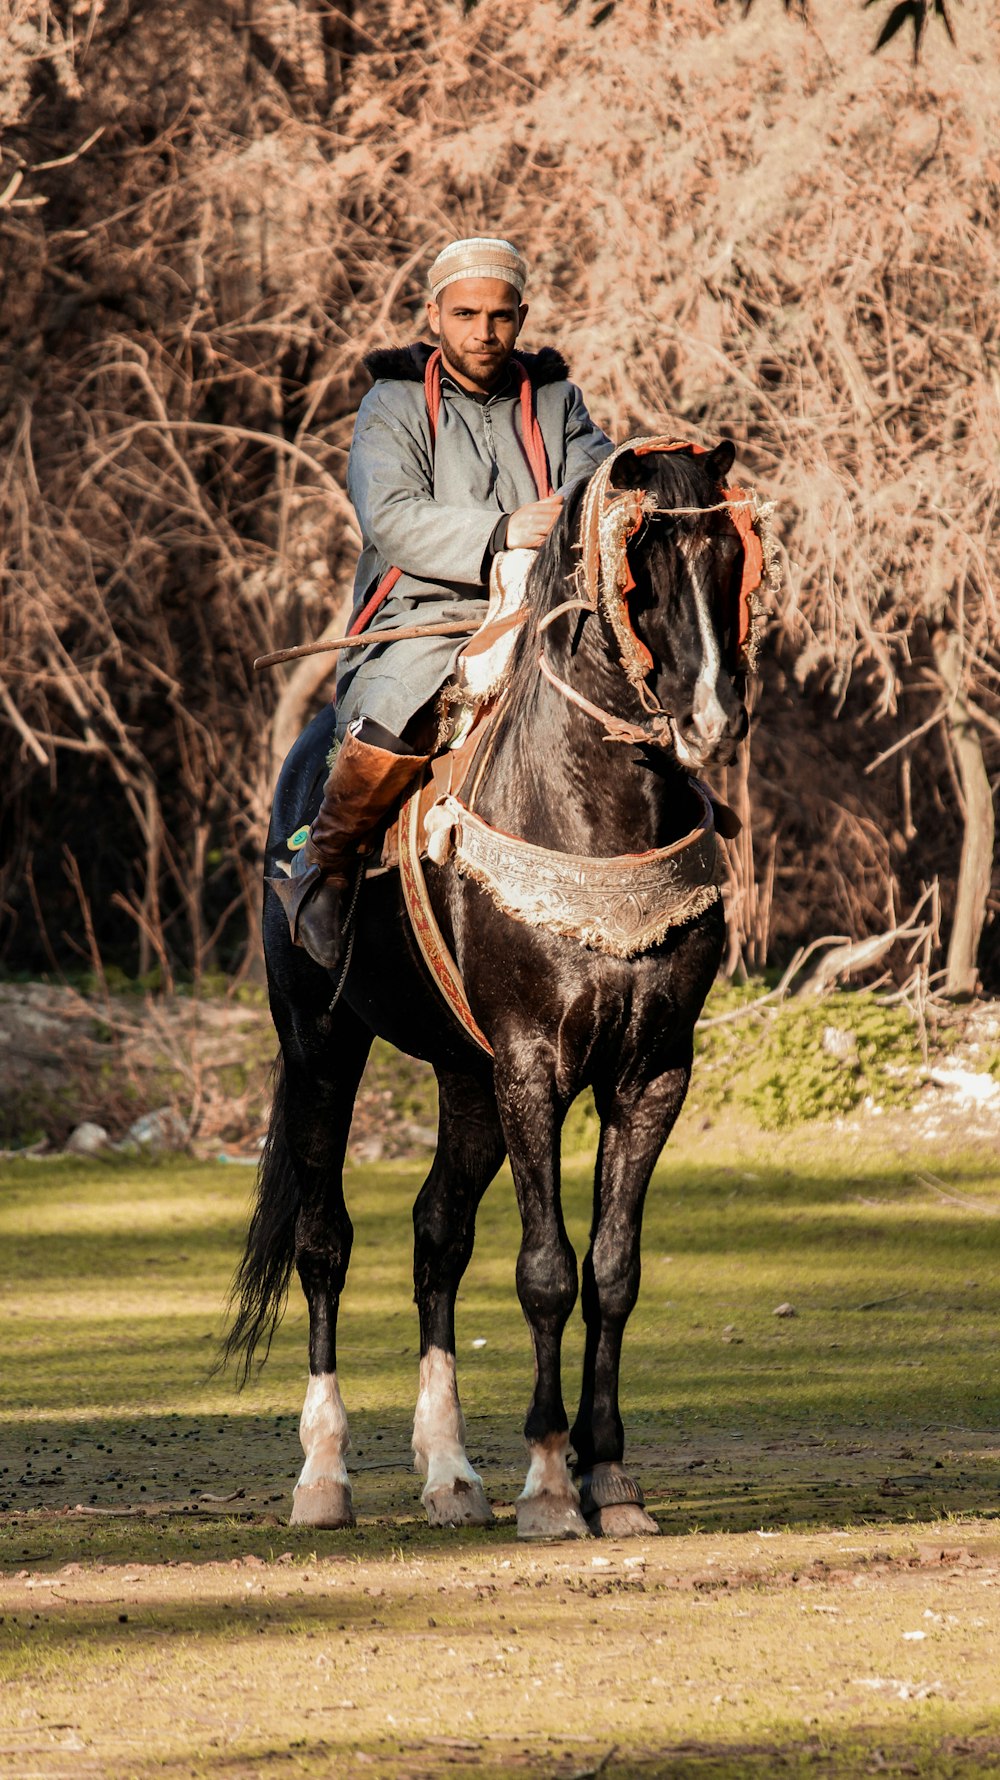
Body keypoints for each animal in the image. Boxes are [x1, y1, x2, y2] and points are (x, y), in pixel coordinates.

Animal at [225, 437, 754, 1537]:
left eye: (730, 554)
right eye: (640, 565)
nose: (714, 716)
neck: (591, 812)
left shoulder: (649, 1075)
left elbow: (612, 1272)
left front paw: (610, 1477)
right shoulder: (531, 1067)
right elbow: (546, 1271)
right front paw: (551, 1480)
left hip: (464, 1079)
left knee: (438, 1238)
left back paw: (449, 1470)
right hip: (323, 1046)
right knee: (323, 1242)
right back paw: (324, 1474)